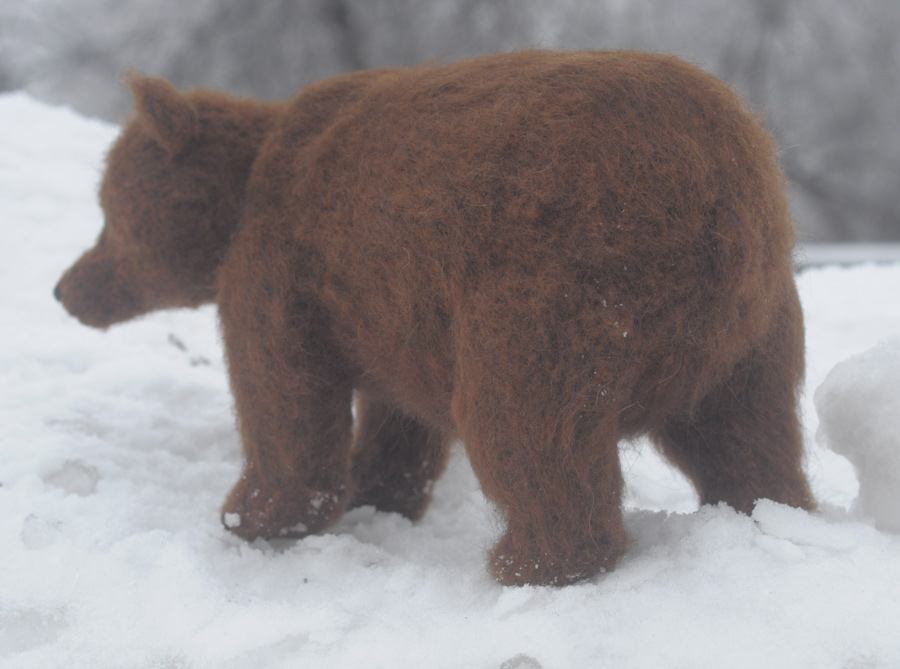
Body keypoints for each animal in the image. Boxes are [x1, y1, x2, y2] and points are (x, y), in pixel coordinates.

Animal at [54, 49, 816, 584]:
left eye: (107, 209)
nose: (66, 288)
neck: (241, 194)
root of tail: (716, 183)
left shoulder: (283, 270)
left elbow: (284, 402)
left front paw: (251, 516)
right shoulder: (391, 312)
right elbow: (398, 422)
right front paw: (375, 496)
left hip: (554, 293)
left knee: (525, 430)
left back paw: (532, 561)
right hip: (754, 325)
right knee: (751, 432)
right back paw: (768, 512)